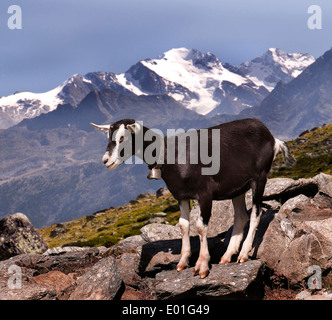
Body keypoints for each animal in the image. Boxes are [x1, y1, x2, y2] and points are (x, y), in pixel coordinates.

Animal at [90, 119, 294, 278]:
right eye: (109, 137)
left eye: (122, 138)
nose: (106, 161)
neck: (170, 154)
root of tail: (273, 139)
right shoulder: (181, 196)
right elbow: (183, 225)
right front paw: (183, 261)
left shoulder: (205, 194)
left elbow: (201, 226)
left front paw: (202, 266)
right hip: (237, 188)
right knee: (241, 216)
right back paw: (227, 255)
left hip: (260, 178)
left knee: (256, 213)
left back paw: (243, 254)